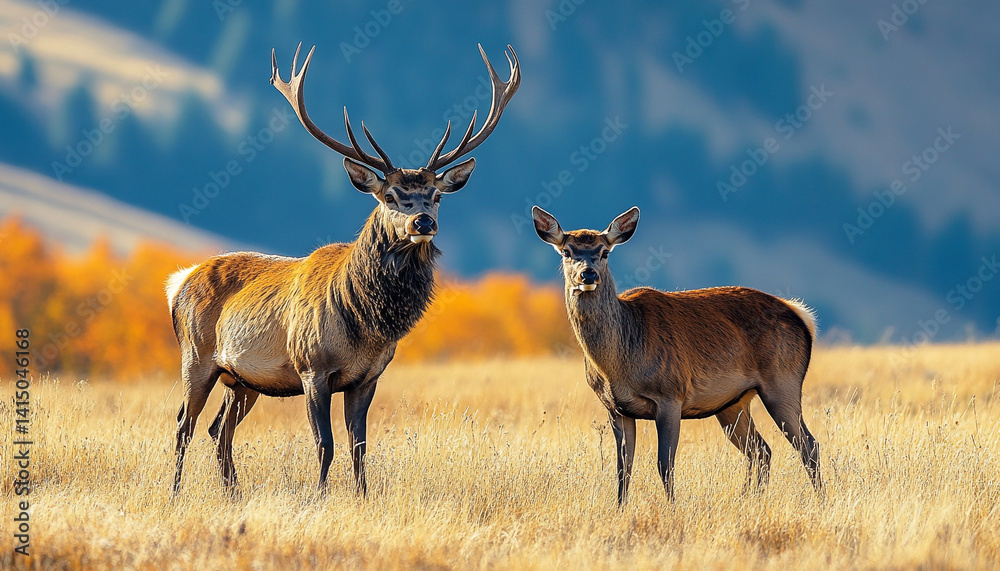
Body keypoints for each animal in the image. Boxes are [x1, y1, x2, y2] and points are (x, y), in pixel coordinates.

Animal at [166, 42, 519, 496]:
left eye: (437, 195)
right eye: (390, 195)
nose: (423, 221)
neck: (364, 321)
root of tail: (180, 281)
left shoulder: (366, 377)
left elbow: (359, 446)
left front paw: (362, 497)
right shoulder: (312, 368)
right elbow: (325, 444)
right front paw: (317, 499)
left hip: (242, 379)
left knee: (218, 430)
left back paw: (233, 494)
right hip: (196, 356)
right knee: (183, 425)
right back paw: (175, 492)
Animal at [530, 206, 822, 504]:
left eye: (604, 252)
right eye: (567, 251)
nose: (588, 275)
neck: (619, 364)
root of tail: (801, 315)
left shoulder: (671, 394)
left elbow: (664, 464)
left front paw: (672, 507)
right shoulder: (615, 408)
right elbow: (623, 469)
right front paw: (620, 508)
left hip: (783, 381)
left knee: (809, 445)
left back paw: (819, 500)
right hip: (733, 404)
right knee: (761, 450)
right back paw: (749, 499)